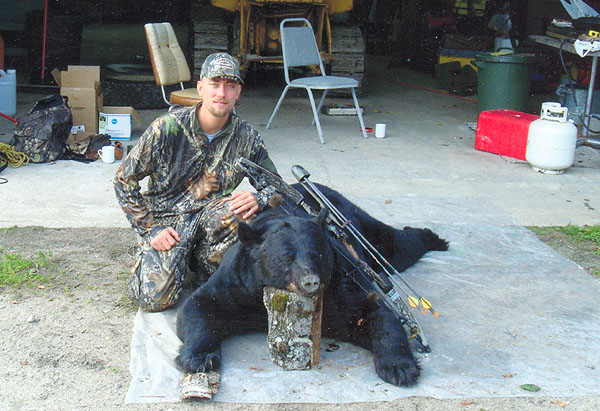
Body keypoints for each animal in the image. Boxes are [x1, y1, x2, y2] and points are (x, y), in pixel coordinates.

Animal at [176, 185, 448, 387]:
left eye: (317, 254)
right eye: (285, 257)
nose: (311, 281)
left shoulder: (339, 290)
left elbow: (376, 314)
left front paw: (399, 368)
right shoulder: (238, 283)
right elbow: (199, 307)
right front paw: (199, 359)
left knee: (393, 246)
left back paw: (434, 238)